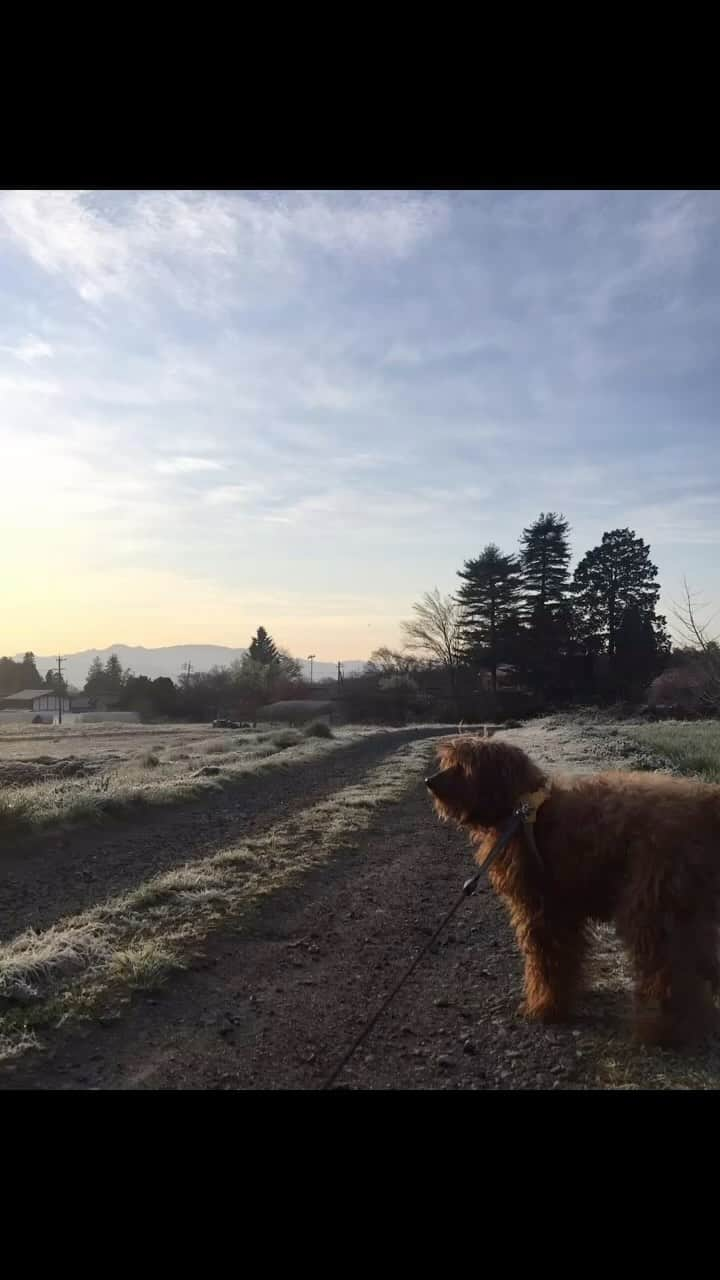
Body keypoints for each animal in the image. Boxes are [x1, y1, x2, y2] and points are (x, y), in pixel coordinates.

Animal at [425, 737, 717, 1044]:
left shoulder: (545, 910)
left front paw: (546, 1006)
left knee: (673, 970)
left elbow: (548, 962)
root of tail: (706, 806)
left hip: (653, 907)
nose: (429, 781)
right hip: (688, 908)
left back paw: (667, 1029)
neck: (525, 809)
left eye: (463, 765)